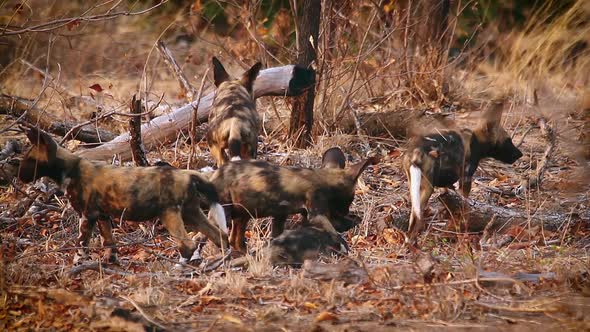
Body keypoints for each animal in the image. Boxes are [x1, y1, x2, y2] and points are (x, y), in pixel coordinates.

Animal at [18, 127, 231, 264]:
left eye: (29, 159)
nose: (19, 175)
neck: (69, 168)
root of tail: (187, 174)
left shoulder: (87, 216)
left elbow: (81, 246)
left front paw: (76, 266)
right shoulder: (102, 216)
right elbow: (109, 243)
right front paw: (110, 263)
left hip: (170, 215)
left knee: (187, 244)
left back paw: (181, 267)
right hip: (191, 213)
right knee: (218, 235)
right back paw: (223, 260)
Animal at [208, 147, 380, 253]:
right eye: (351, 198)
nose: (347, 213)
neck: (325, 180)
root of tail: (215, 175)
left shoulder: (281, 215)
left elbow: (277, 235)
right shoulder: (316, 214)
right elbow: (334, 233)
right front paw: (345, 246)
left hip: (242, 214)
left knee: (235, 240)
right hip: (225, 212)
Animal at [404, 100, 524, 245]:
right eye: (508, 140)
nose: (520, 154)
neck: (476, 142)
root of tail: (416, 151)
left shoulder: (449, 185)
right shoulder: (466, 179)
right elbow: (465, 208)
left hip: (415, 186)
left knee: (412, 216)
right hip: (427, 188)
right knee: (416, 217)